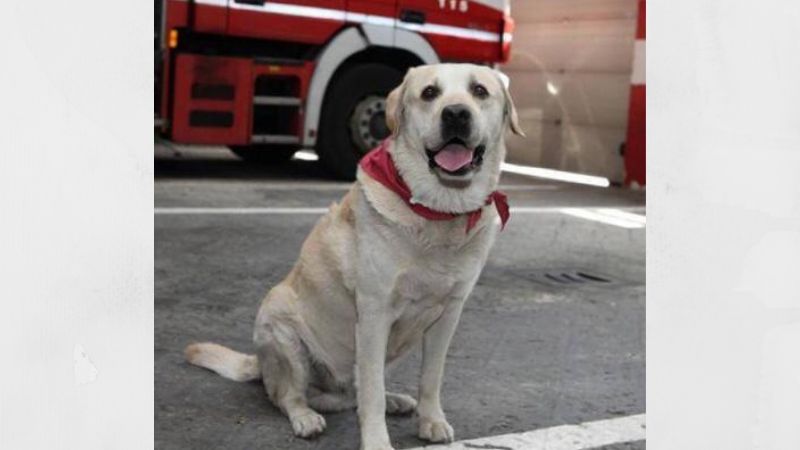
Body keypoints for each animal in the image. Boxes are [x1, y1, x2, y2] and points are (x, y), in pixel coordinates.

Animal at [188, 63, 524, 450]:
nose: (455, 113)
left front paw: (431, 420)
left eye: (479, 91)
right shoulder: (375, 314)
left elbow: (431, 376)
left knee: (353, 392)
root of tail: (258, 363)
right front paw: (377, 441)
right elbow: (371, 394)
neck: (439, 212)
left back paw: (395, 400)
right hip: (282, 326)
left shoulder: (449, 314)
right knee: (289, 395)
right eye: (429, 93)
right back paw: (305, 417)